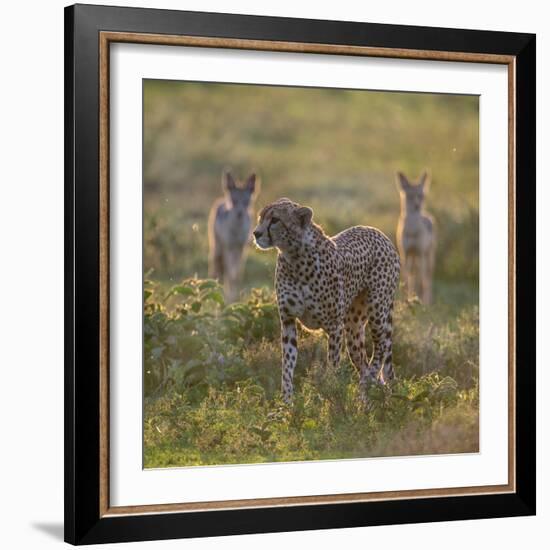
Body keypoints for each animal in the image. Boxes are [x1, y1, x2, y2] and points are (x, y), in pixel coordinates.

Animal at [253, 199, 402, 406]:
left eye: (275, 219)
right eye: (260, 217)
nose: (256, 233)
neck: (295, 257)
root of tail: (379, 233)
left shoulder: (334, 327)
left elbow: (333, 365)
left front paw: (331, 395)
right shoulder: (288, 321)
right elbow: (287, 366)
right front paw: (286, 403)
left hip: (378, 313)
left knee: (380, 349)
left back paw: (366, 385)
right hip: (353, 328)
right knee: (364, 362)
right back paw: (366, 400)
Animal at [398, 170, 438, 304]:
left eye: (421, 196)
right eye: (410, 196)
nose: (417, 206)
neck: (412, 230)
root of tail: (428, 216)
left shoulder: (420, 253)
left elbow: (421, 281)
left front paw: (419, 301)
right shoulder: (405, 253)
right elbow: (407, 280)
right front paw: (406, 299)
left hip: (427, 257)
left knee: (426, 279)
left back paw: (427, 301)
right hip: (413, 257)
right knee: (413, 276)